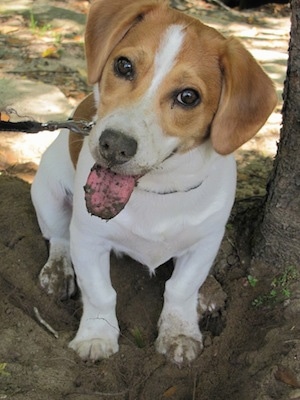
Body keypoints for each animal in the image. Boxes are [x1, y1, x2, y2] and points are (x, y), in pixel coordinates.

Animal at [31, 0, 276, 364]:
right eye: (124, 65)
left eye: (188, 96)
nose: (114, 145)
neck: (157, 190)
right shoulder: (89, 238)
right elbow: (100, 292)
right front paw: (97, 336)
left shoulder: (205, 241)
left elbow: (181, 288)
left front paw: (179, 332)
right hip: (47, 193)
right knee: (59, 237)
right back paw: (59, 270)